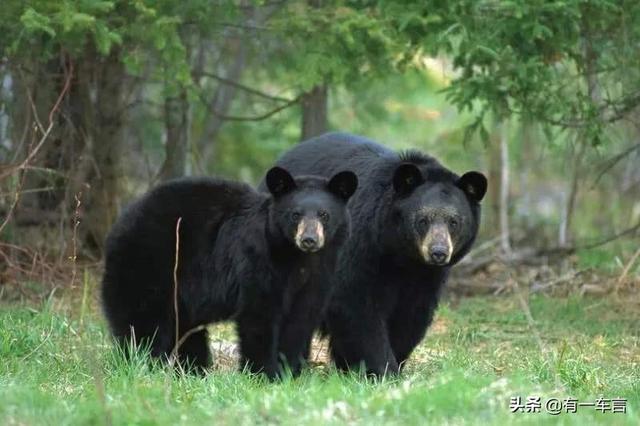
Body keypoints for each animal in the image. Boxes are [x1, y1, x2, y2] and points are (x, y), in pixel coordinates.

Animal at [102, 166, 358, 376]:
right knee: (143, 323)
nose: (309, 240)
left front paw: (288, 371)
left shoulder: (320, 274)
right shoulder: (258, 260)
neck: (297, 258)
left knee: (185, 329)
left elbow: (300, 319)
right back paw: (143, 365)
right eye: (295, 214)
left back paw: (192, 370)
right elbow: (259, 315)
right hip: (148, 266)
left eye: (324, 214)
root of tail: (120, 223)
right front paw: (263, 373)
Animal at [268, 133, 488, 376]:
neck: (402, 255)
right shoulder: (361, 246)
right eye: (422, 220)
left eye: (454, 222)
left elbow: (412, 315)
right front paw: (382, 369)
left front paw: (393, 362)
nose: (438, 252)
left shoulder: (427, 277)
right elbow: (355, 304)